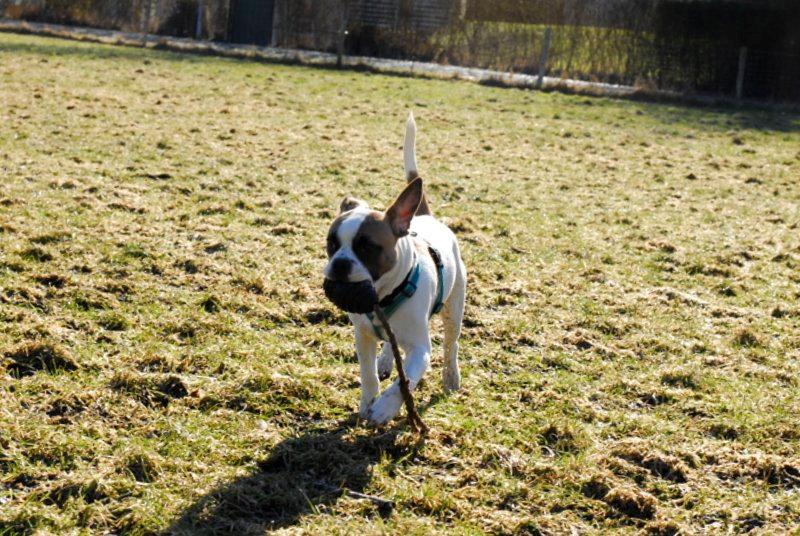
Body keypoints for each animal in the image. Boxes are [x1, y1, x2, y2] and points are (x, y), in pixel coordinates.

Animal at [322, 115, 466, 426]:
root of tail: (424, 216)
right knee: (391, 343)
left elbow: (406, 379)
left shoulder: (421, 350)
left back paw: (451, 377)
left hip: (455, 307)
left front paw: (386, 408)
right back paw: (387, 359)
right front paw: (368, 402)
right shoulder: (362, 337)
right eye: (332, 243)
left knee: (451, 344)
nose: (340, 263)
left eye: (367, 247)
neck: (384, 297)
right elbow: (368, 375)